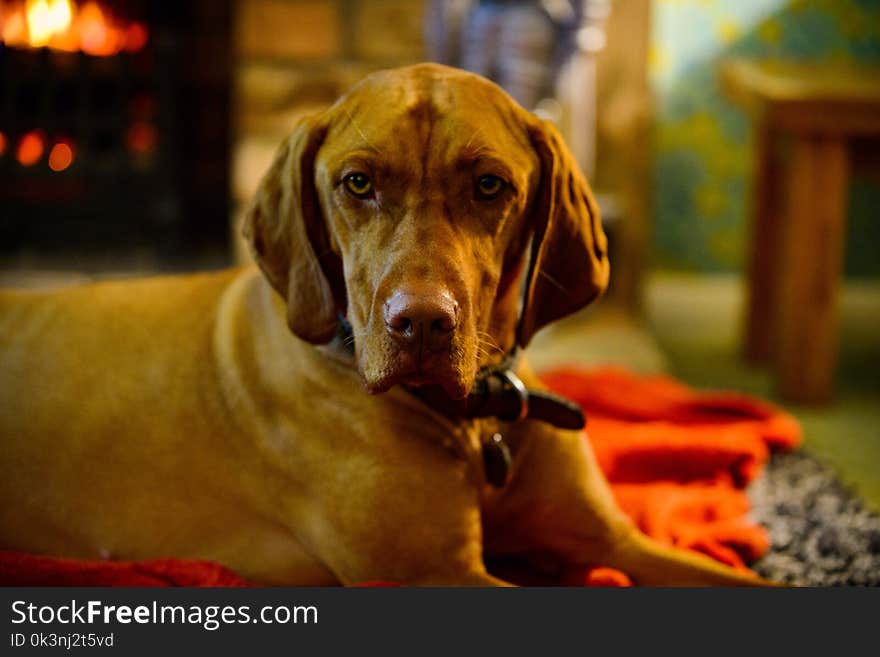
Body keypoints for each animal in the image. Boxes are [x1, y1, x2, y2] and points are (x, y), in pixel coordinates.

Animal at [0, 65, 768, 584]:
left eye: (489, 185)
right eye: (358, 183)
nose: (420, 324)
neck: (477, 421)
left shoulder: (614, 542)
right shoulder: (438, 576)